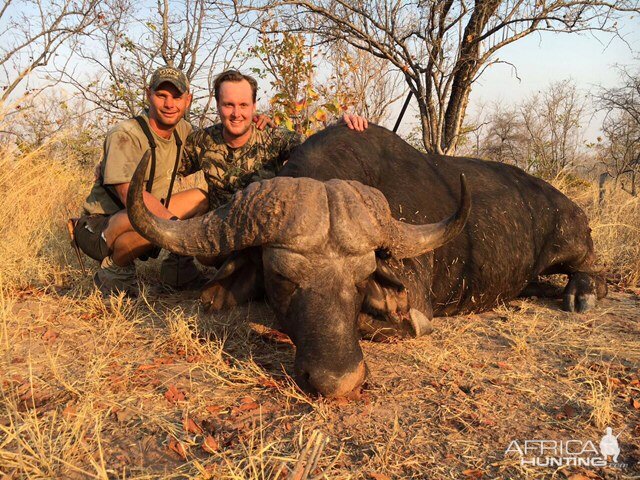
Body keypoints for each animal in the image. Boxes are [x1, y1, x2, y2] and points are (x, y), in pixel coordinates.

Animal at [127, 124, 608, 398]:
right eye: (282, 277)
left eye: (361, 280)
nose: (338, 382)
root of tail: (559, 200)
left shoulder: (413, 307)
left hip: (571, 241)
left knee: (589, 267)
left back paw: (583, 293)